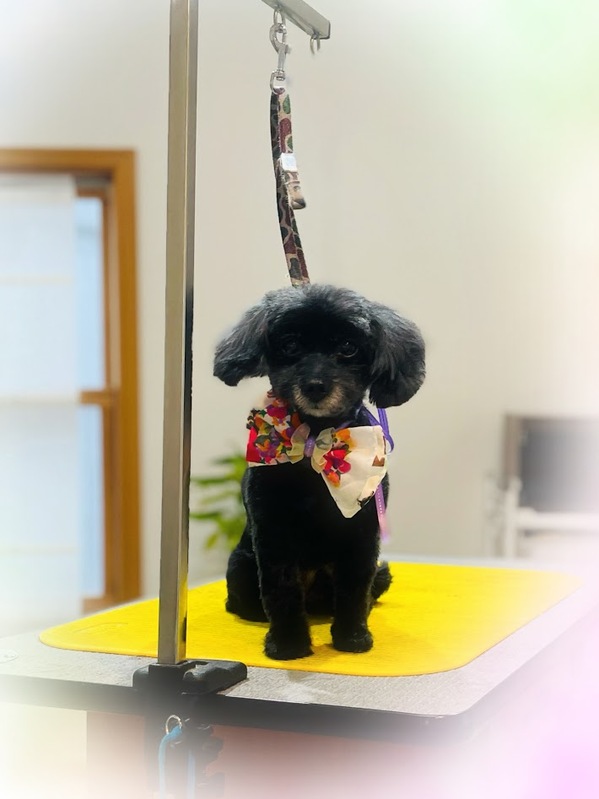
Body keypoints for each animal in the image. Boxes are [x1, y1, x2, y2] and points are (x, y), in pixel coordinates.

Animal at [213, 284, 425, 660]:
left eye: (348, 347)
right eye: (290, 345)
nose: (315, 385)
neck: (316, 436)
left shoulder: (363, 528)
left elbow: (355, 588)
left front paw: (353, 637)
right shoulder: (272, 529)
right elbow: (280, 588)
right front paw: (287, 643)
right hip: (239, 566)